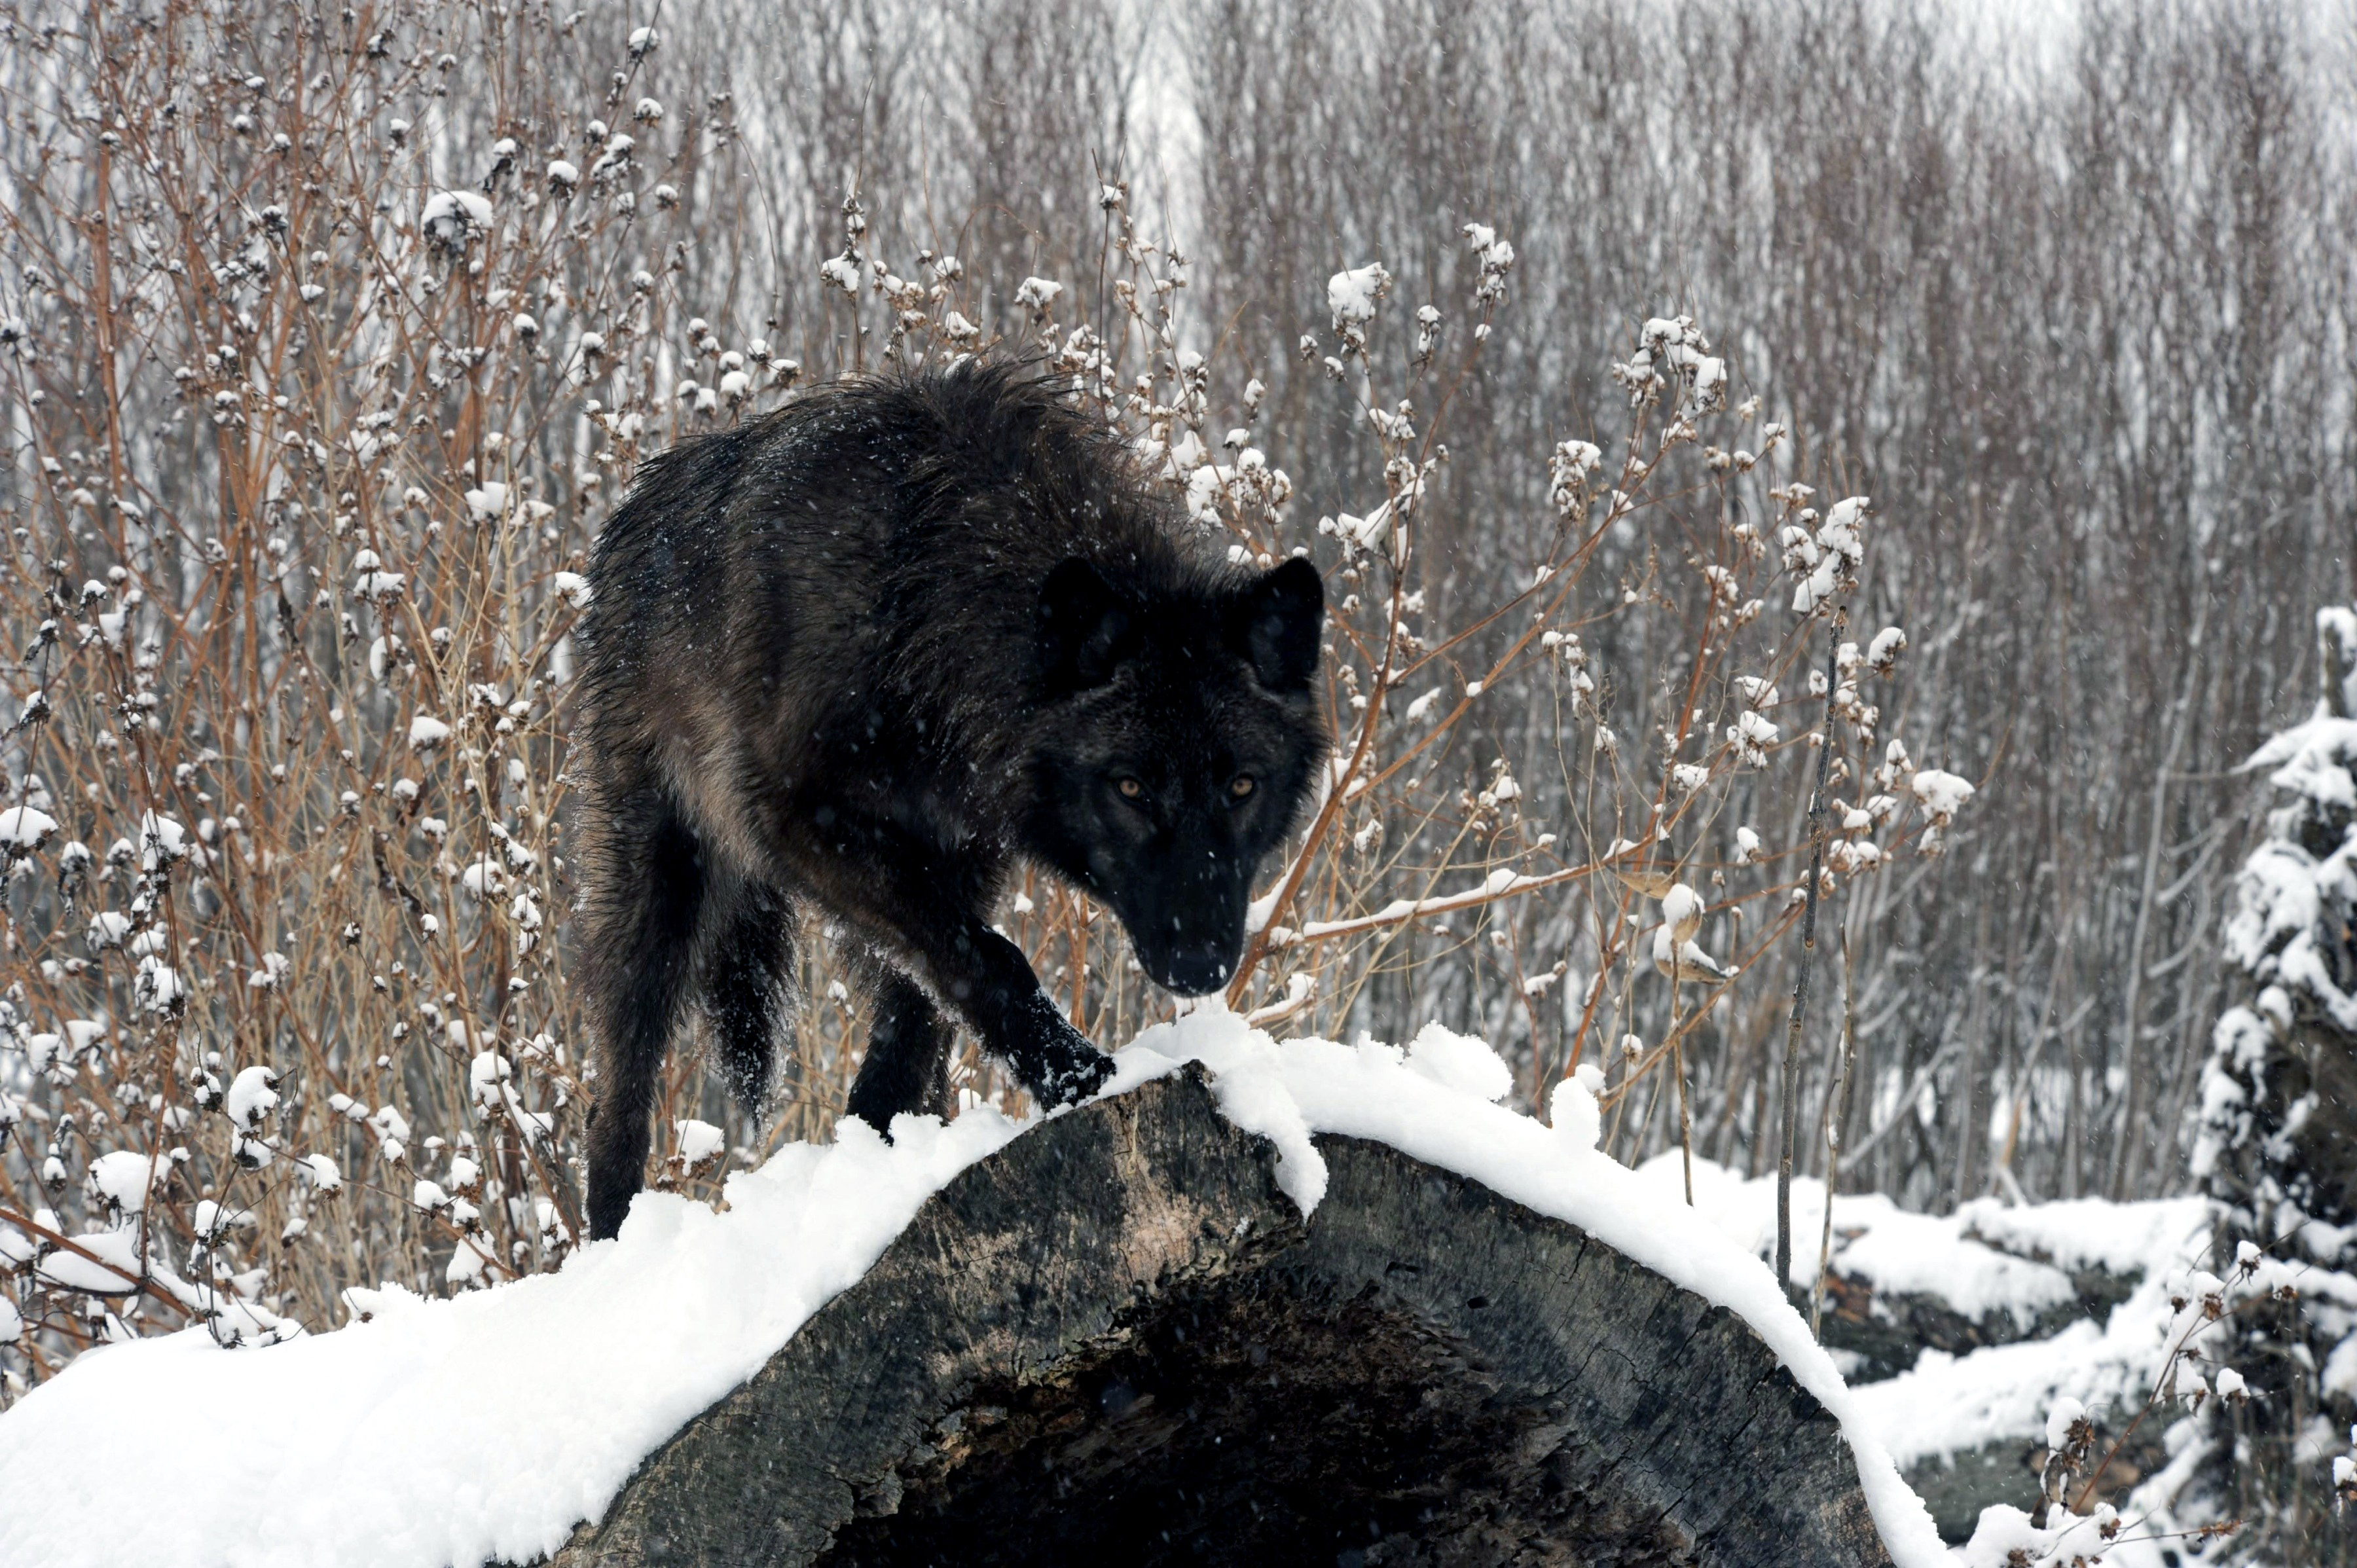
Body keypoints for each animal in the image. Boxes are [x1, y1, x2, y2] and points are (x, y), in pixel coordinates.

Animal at [572, 354, 1329, 1235]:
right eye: (1131, 787)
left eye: (1242, 785)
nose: (1201, 961)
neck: (926, 590)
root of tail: (637, 507)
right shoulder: (800, 823)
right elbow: (989, 960)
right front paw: (1079, 1077)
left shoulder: (961, 858)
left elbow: (923, 1018)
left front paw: (884, 1161)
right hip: (662, 891)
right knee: (620, 1091)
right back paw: (614, 1240)